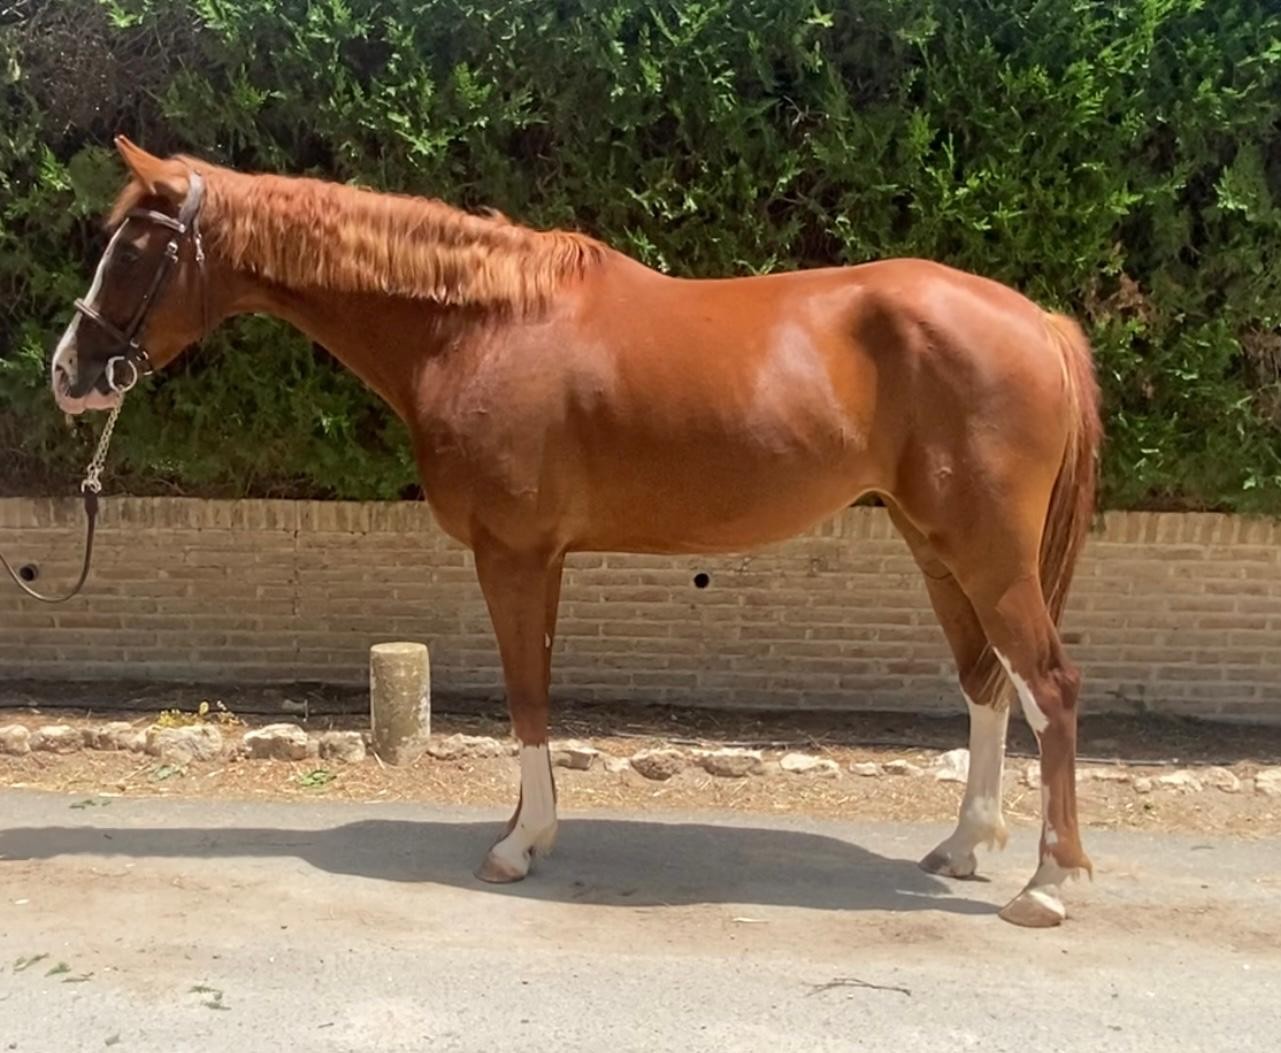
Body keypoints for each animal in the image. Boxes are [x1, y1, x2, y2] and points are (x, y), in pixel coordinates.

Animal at [51, 136, 1101, 927]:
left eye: (133, 249)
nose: (69, 372)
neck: (480, 326)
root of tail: (1036, 320)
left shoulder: (511, 554)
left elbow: (524, 694)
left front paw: (517, 845)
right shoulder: (544, 557)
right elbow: (539, 690)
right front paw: (533, 825)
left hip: (985, 552)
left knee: (1047, 684)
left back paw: (1048, 884)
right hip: (936, 546)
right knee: (987, 684)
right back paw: (964, 847)